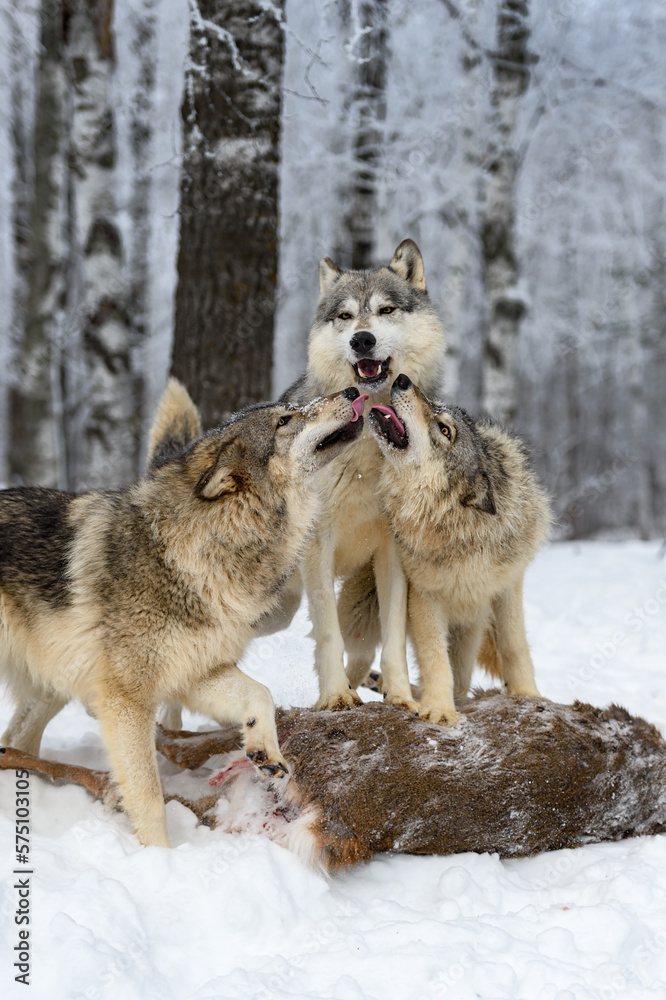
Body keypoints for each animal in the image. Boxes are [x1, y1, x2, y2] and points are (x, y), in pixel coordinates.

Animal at [0, 379, 365, 846]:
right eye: (285, 420)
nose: (353, 389)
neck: (197, 553)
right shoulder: (126, 702)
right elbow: (149, 797)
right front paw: (159, 856)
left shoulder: (197, 671)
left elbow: (260, 694)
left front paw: (264, 749)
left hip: (52, 685)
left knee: (16, 741)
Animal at [281, 240, 447, 711]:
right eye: (345, 316)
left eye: (386, 310)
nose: (362, 339)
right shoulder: (318, 544)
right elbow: (327, 634)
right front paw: (335, 697)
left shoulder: (393, 549)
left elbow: (393, 637)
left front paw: (401, 697)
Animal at [365, 373, 551, 725]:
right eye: (435, 406)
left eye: (445, 430)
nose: (403, 379)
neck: (459, 532)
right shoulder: (424, 595)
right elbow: (435, 658)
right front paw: (439, 708)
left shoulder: (507, 585)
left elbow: (514, 645)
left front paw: (527, 695)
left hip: (470, 629)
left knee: (463, 677)